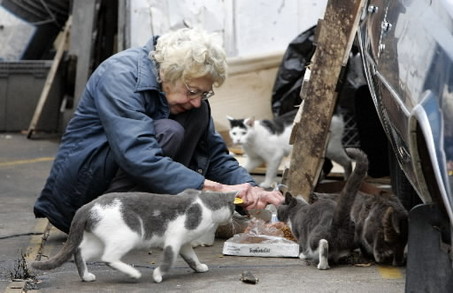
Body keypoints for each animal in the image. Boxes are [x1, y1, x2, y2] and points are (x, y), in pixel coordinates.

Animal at [31, 188, 237, 282]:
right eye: (234, 208)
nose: (235, 215)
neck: (205, 204)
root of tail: (89, 205)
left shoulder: (184, 243)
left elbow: (191, 257)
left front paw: (199, 267)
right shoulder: (174, 239)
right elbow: (168, 261)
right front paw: (157, 276)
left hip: (97, 241)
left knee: (79, 252)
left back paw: (86, 276)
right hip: (128, 235)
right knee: (108, 258)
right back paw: (133, 273)